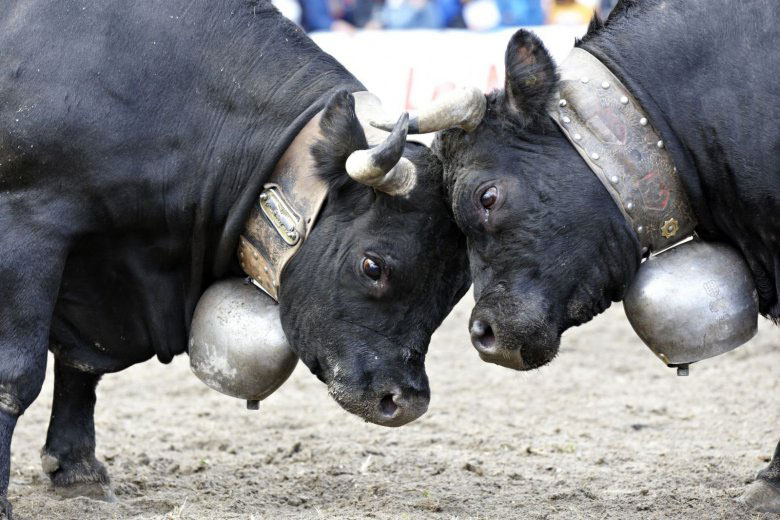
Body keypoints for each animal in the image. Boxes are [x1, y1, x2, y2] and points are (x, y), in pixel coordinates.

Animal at [0, 0, 470, 512]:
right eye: (373, 266)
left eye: (458, 287)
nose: (406, 401)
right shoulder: (29, 224)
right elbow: (16, 372)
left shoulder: (98, 270)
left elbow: (81, 368)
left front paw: (76, 467)